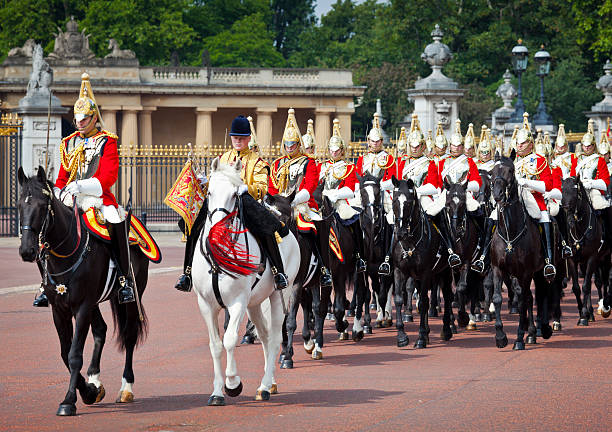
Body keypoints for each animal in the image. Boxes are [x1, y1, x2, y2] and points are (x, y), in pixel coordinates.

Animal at [17, 167, 149, 416]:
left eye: (43, 205)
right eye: (19, 205)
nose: (27, 251)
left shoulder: (82, 306)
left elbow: (74, 354)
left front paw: (69, 400)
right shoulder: (60, 309)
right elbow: (65, 353)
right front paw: (89, 391)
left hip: (129, 297)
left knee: (129, 335)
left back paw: (126, 388)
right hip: (94, 303)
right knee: (101, 331)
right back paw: (95, 379)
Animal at [192, 159, 300, 404]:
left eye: (235, 195)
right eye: (209, 192)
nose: (218, 230)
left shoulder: (238, 301)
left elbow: (230, 339)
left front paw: (233, 384)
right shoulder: (206, 304)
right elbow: (216, 345)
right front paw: (217, 393)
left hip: (279, 295)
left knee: (275, 338)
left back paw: (266, 386)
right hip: (255, 303)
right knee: (265, 336)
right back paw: (268, 384)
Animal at [392, 177, 454, 350]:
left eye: (408, 202)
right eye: (394, 201)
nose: (400, 233)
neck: (409, 242)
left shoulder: (426, 273)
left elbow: (424, 303)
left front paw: (420, 338)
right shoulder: (399, 271)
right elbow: (399, 299)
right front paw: (402, 336)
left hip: (445, 271)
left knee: (447, 295)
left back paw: (446, 330)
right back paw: (427, 332)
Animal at [560, 176, 608, 324]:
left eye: (575, 192)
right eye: (562, 190)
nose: (565, 208)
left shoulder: (592, 258)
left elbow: (586, 286)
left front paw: (584, 315)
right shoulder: (572, 259)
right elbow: (577, 288)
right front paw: (583, 313)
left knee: (604, 280)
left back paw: (605, 307)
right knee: (598, 282)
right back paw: (592, 313)